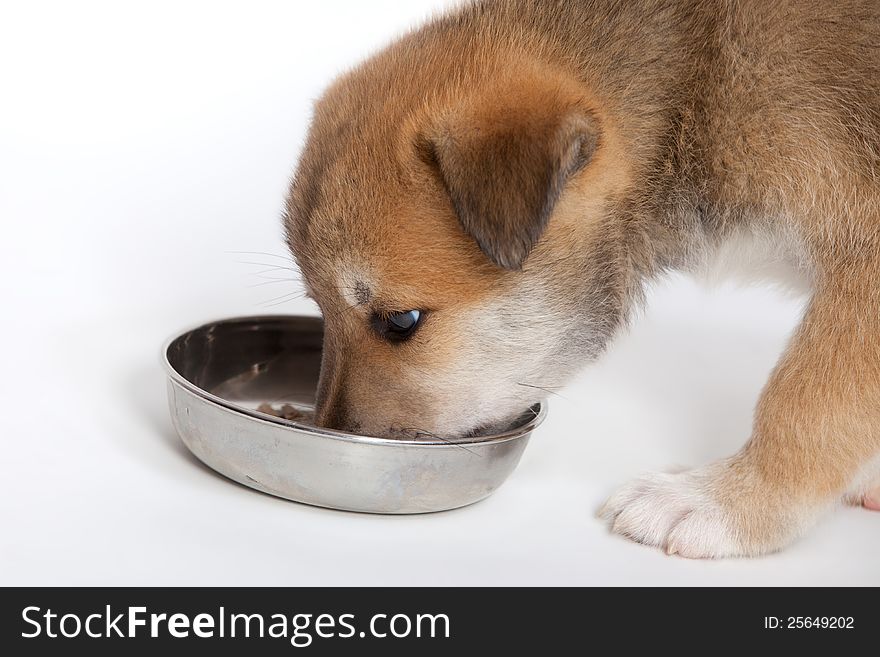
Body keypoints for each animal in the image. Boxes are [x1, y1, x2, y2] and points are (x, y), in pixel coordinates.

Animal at [284, 0, 880, 556]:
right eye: (319, 308)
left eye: (401, 321)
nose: (331, 439)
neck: (699, 86)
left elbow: (806, 402)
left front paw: (725, 503)